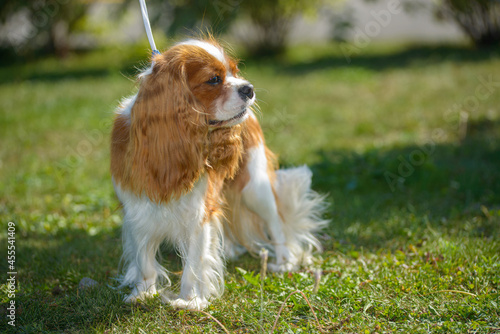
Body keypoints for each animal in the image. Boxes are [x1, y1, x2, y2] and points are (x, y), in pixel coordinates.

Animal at [110, 37, 328, 310]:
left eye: (235, 71)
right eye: (214, 79)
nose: (248, 87)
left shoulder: (197, 213)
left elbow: (194, 263)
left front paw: (190, 300)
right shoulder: (137, 212)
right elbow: (144, 259)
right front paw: (142, 292)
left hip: (255, 188)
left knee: (276, 223)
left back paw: (284, 260)